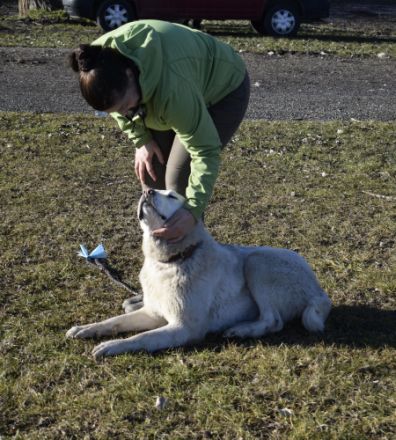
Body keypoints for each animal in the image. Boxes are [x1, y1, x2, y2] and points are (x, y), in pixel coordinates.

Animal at [65, 188, 332, 358]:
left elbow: (140, 338)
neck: (170, 261)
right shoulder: (152, 312)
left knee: (273, 320)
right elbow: (113, 322)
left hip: (257, 262)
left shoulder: (184, 328)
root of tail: (320, 291)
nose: (147, 191)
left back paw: (241, 329)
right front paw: (86, 329)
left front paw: (111, 346)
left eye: (171, 195)